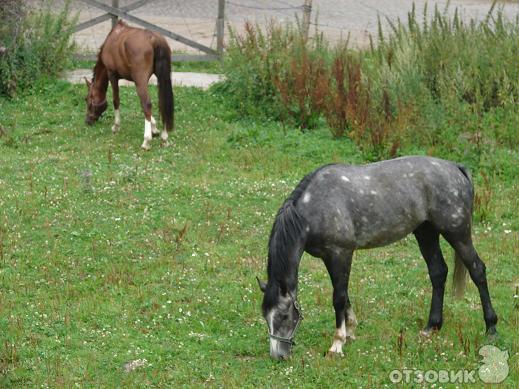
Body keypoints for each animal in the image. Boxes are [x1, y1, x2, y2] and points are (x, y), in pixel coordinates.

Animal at [85, 19, 175, 150]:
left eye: (86, 99)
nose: (87, 121)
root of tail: (153, 39)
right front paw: (154, 129)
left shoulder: (112, 75)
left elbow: (116, 100)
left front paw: (116, 126)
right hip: (161, 78)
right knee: (162, 103)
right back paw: (164, 138)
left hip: (140, 80)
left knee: (146, 104)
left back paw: (146, 141)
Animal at [258, 155, 498, 358]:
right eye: (266, 317)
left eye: (284, 316)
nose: (278, 356)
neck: (317, 207)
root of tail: (456, 168)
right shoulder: (330, 257)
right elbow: (344, 295)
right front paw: (350, 331)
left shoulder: (341, 254)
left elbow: (339, 298)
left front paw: (337, 344)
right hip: (426, 232)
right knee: (438, 273)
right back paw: (432, 326)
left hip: (458, 234)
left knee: (477, 270)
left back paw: (491, 327)